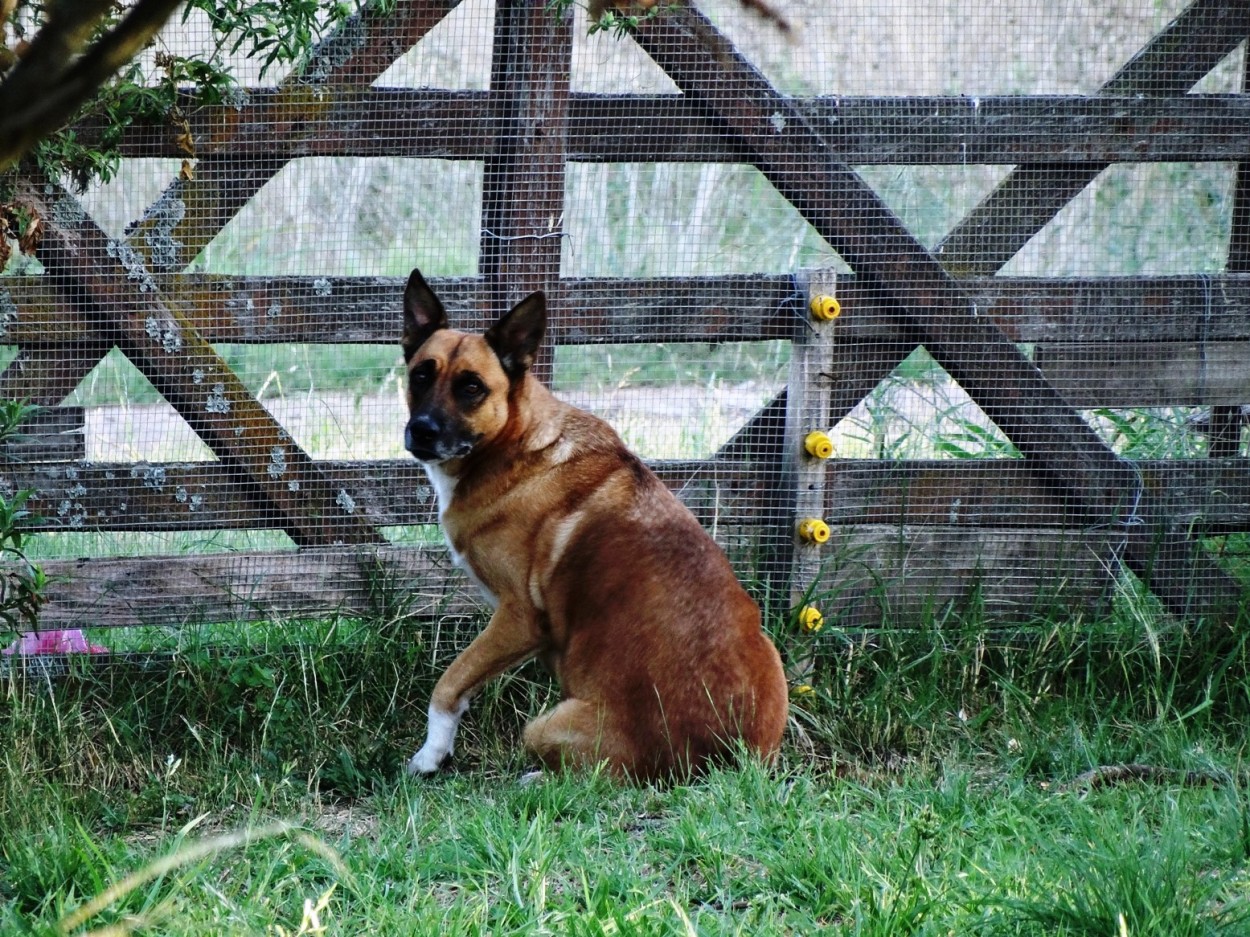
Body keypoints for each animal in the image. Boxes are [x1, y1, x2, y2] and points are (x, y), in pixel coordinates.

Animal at [405, 271, 785, 784]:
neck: (514, 444)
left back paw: (536, 778)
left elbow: (449, 684)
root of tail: (723, 761)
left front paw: (431, 754)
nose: (421, 431)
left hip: (543, 726)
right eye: (421, 375)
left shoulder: (519, 620)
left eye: (471, 387)